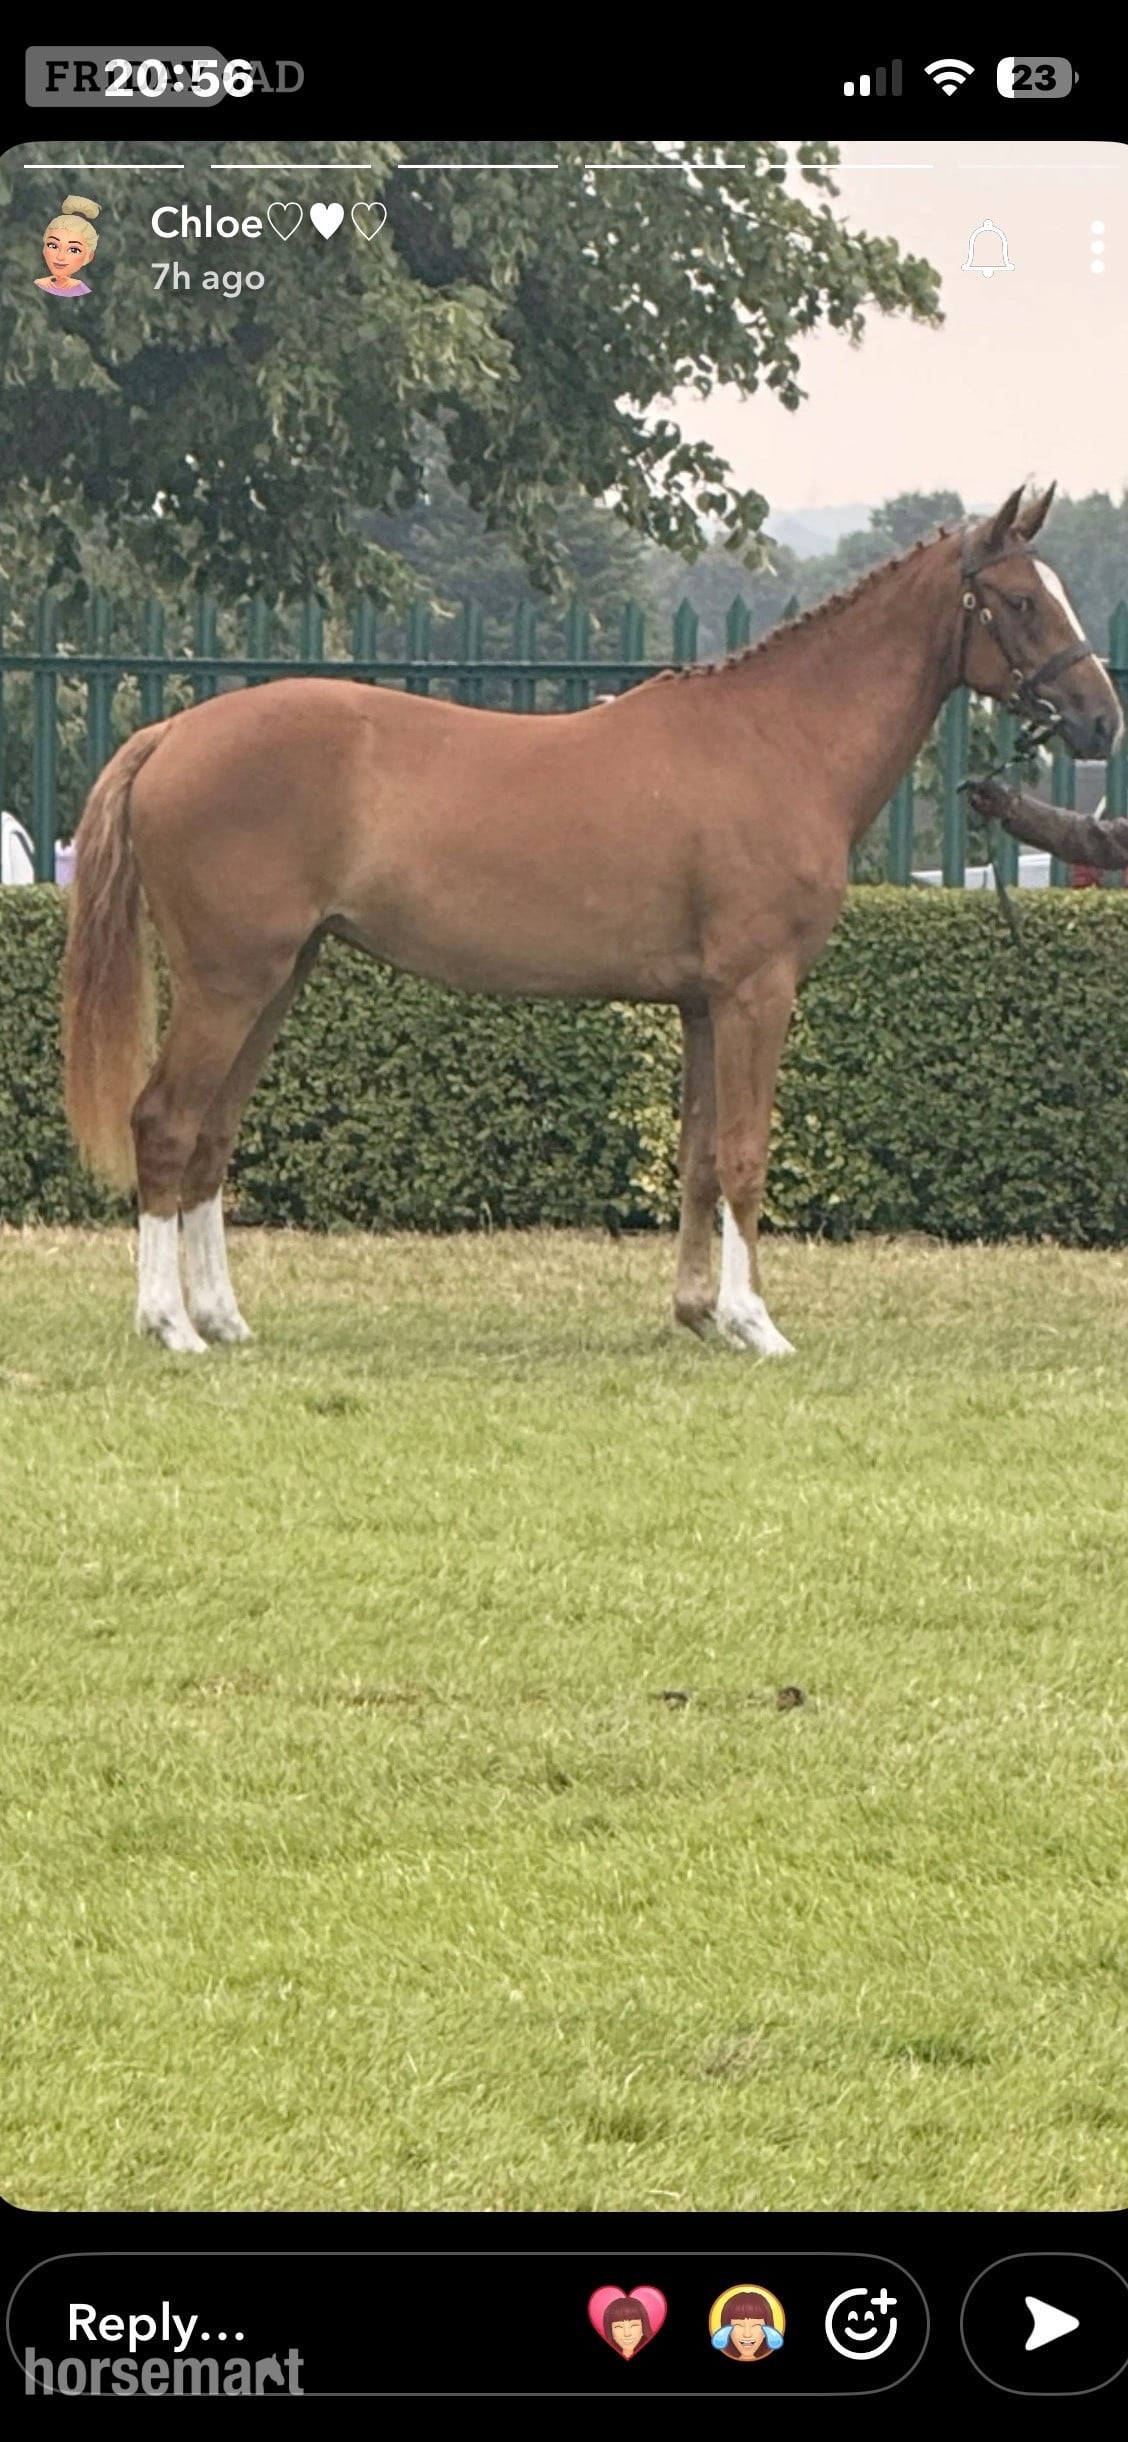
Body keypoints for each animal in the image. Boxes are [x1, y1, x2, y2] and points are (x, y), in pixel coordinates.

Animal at [62, 483, 1121, 1356]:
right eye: (1020, 601)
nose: (1100, 719)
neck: (776, 741)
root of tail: (173, 734)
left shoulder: (702, 1006)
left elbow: (698, 1160)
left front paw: (699, 1314)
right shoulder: (758, 993)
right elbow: (745, 1155)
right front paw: (756, 1323)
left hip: (278, 979)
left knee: (211, 1136)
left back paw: (221, 1317)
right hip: (230, 983)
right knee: (164, 1123)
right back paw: (170, 1325)